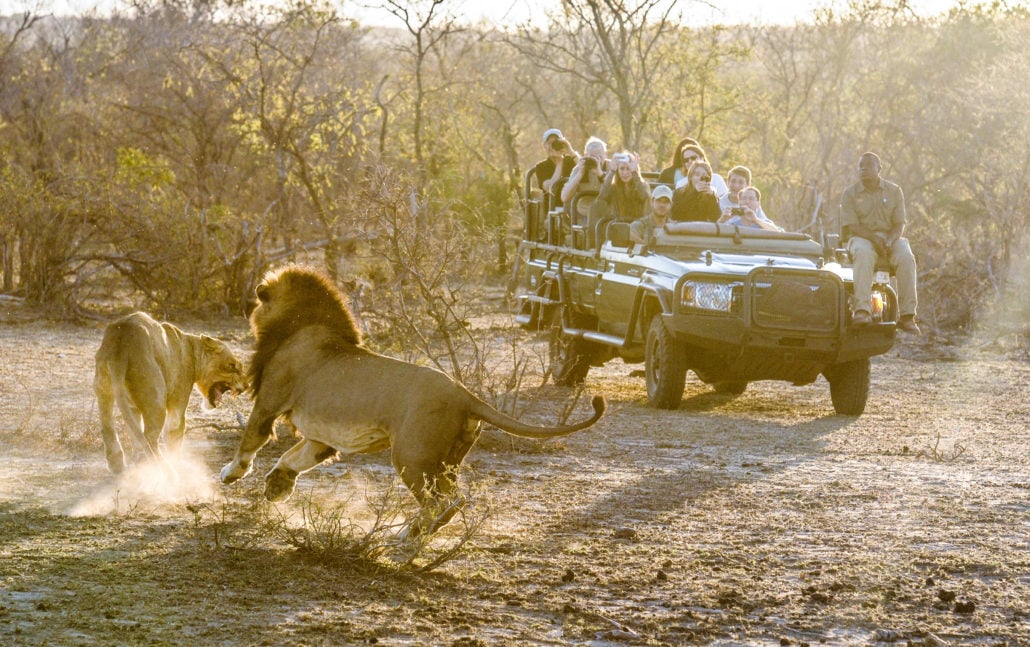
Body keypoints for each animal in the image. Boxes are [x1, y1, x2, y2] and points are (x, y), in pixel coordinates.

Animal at [96, 311, 249, 471]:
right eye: (232, 365)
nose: (246, 385)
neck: (192, 346)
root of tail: (121, 341)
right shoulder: (178, 401)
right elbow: (175, 433)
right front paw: (177, 463)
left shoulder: (133, 407)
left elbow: (135, 433)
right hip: (157, 399)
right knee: (149, 436)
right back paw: (162, 466)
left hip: (103, 387)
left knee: (108, 426)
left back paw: (118, 464)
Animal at [217, 265, 601, 539]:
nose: (245, 304)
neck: (300, 324)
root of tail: (465, 394)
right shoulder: (321, 437)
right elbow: (293, 457)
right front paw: (277, 486)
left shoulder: (269, 402)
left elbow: (250, 441)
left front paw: (231, 474)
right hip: (446, 461)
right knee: (455, 498)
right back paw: (414, 533)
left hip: (411, 456)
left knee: (441, 503)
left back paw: (405, 534)